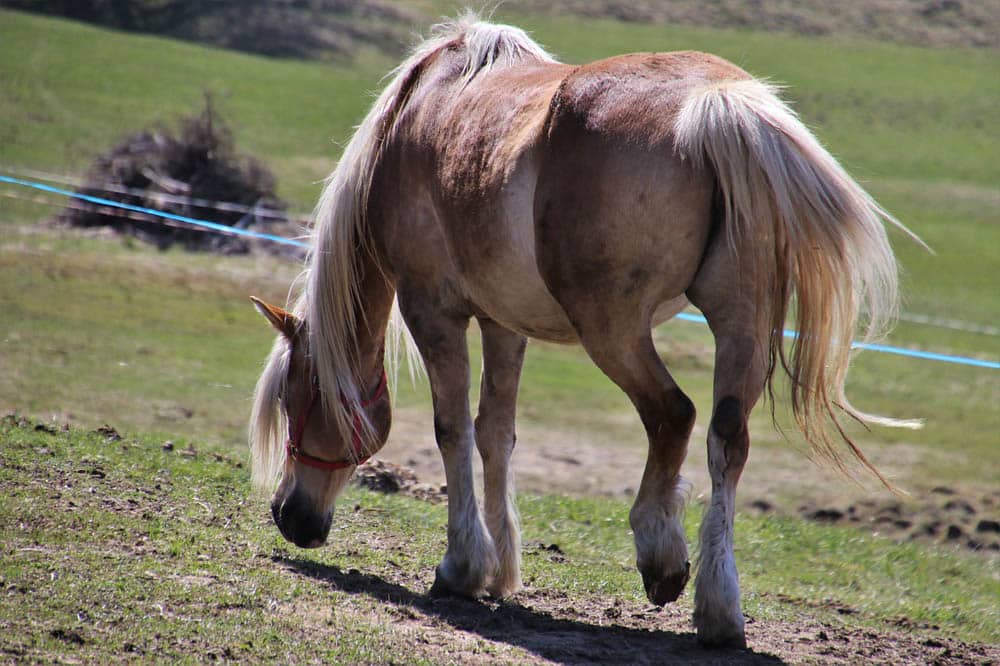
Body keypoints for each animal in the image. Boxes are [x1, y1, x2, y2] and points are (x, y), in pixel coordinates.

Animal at [248, 14, 916, 648]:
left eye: (295, 400)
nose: (289, 515)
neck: (415, 119)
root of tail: (716, 104)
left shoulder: (433, 310)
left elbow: (452, 429)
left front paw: (461, 567)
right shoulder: (503, 322)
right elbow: (496, 433)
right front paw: (500, 571)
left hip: (613, 331)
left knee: (672, 414)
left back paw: (661, 555)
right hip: (738, 325)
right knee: (727, 437)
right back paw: (719, 609)